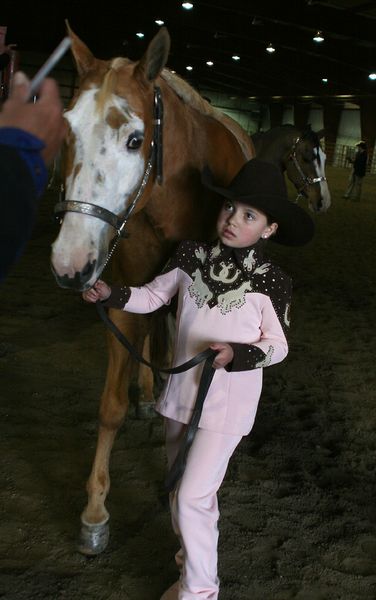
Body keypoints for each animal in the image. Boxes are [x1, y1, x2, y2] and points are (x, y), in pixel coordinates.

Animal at [50, 25, 256, 556]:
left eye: (135, 139)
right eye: (67, 130)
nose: (69, 263)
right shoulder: (121, 294)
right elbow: (110, 407)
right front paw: (95, 512)